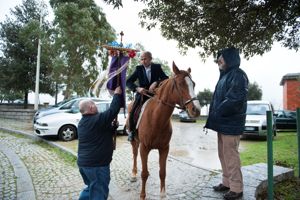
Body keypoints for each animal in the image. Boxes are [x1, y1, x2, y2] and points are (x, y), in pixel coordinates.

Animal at [127, 61, 200, 199]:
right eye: (181, 84)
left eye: (193, 84)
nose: (196, 110)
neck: (156, 118)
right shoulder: (144, 148)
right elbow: (144, 173)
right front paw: (142, 195)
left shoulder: (164, 148)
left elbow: (162, 172)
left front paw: (163, 194)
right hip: (135, 140)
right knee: (134, 154)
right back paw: (133, 174)